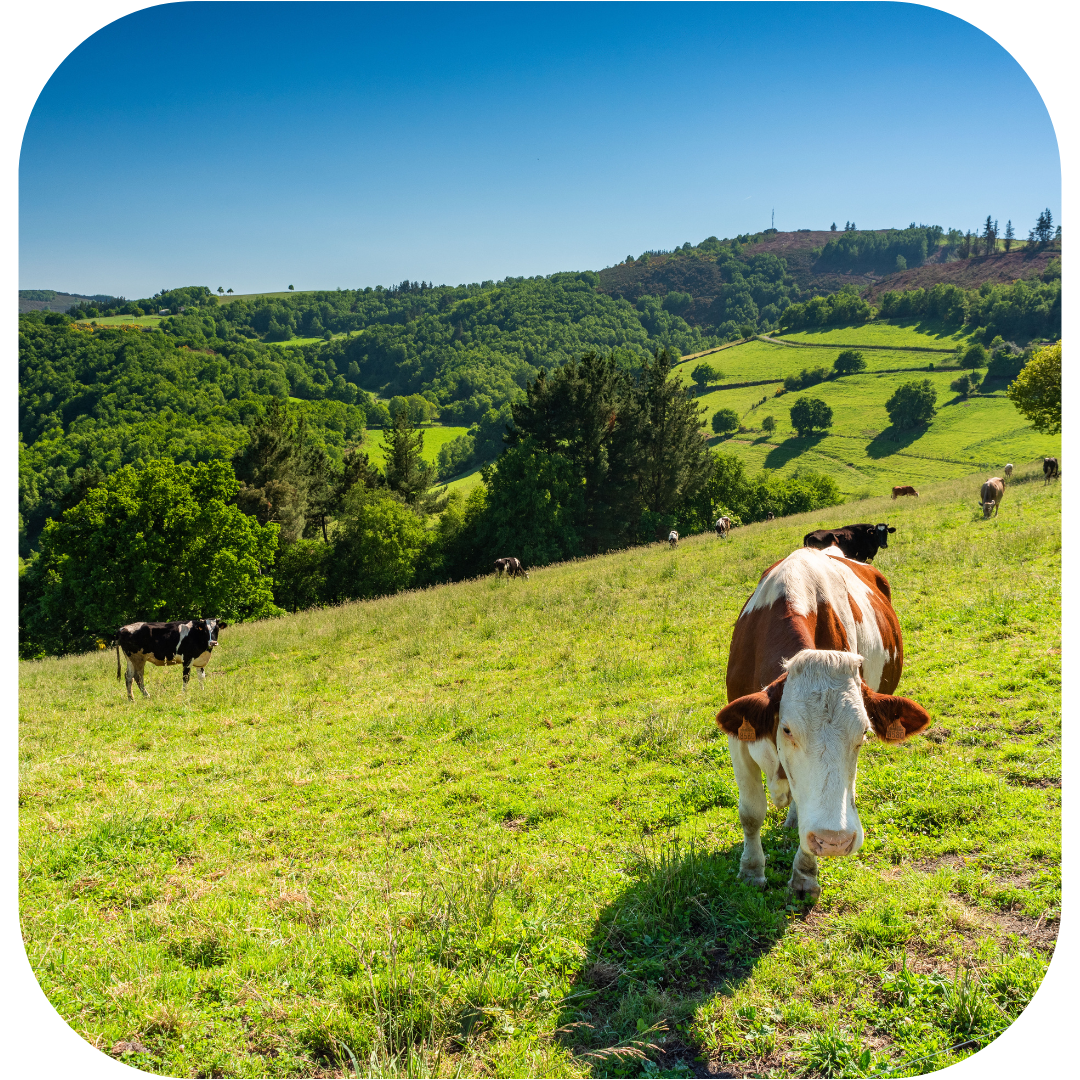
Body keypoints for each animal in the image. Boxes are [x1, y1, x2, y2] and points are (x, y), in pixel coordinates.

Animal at [717, 548, 928, 902]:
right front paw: (751, 871)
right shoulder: (740, 739)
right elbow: (751, 811)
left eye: (864, 733)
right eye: (787, 729)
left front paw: (804, 876)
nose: (835, 840)